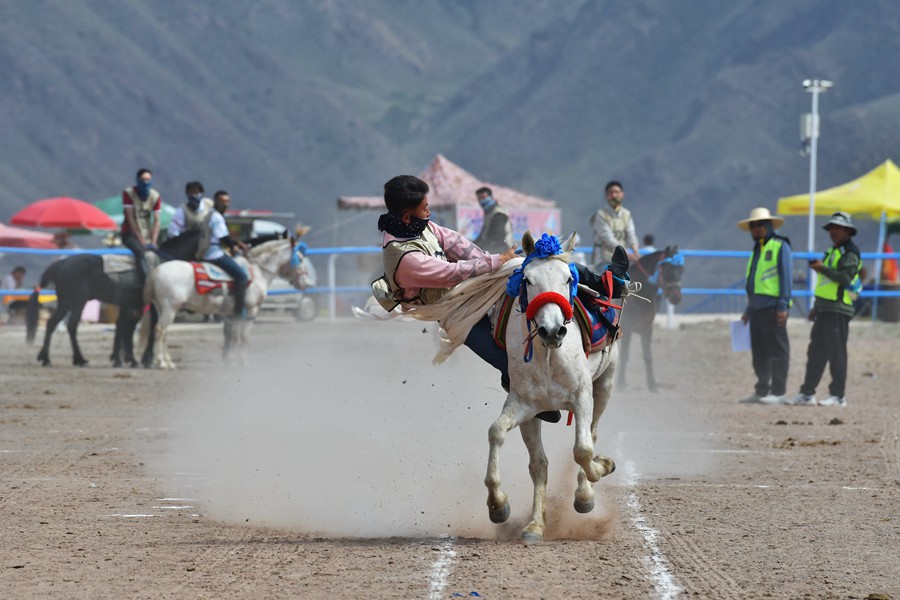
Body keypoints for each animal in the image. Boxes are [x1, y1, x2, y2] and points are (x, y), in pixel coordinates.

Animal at [25, 232, 199, 368]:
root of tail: (60, 264)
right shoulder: (151, 308)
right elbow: (144, 331)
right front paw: (144, 359)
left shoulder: (131, 307)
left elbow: (125, 330)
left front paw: (126, 359)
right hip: (76, 302)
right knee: (71, 326)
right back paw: (79, 359)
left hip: (66, 302)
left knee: (52, 323)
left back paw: (47, 358)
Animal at [138, 237, 312, 368]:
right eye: (300, 258)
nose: (307, 284)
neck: (256, 272)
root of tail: (156, 271)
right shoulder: (250, 311)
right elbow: (244, 336)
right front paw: (243, 362)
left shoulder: (233, 314)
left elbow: (232, 336)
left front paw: (230, 361)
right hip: (170, 309)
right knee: (160, 330)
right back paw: (161, 363)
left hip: (163, 308)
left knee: (164, 332)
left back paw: (169, 362)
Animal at [402, 232, 624, 540]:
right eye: (528, 280)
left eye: (568, 278)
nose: (552, 330)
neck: (549, 356)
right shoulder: (523, 405)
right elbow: (497, 433)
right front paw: (499, 507)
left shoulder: (582, 397)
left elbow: (583, 449)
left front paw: (596, 477)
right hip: (537, 415)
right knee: (539, 464)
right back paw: (535, 524)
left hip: (605, 384)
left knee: (591, 434)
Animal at [620, 246, 684, 392]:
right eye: (667, 268)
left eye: (681, 269)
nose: (676, 297)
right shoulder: (627, 328)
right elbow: (624, 355)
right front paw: (620, 383)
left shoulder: (647, 329)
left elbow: (647, 357)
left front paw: (652, 385)